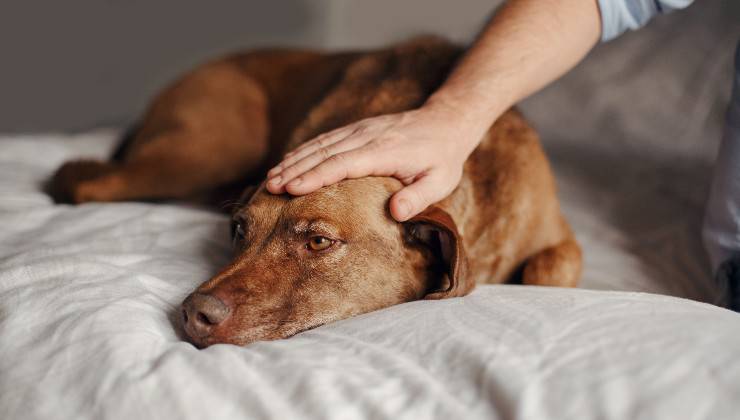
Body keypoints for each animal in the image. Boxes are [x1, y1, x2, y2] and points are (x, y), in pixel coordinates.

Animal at [52, 36, 584, 346]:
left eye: (319, 241)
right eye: (238, 230)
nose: (193, 314)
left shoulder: (559, 238)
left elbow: (550, 268)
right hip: (207, 150)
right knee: (83, 181)